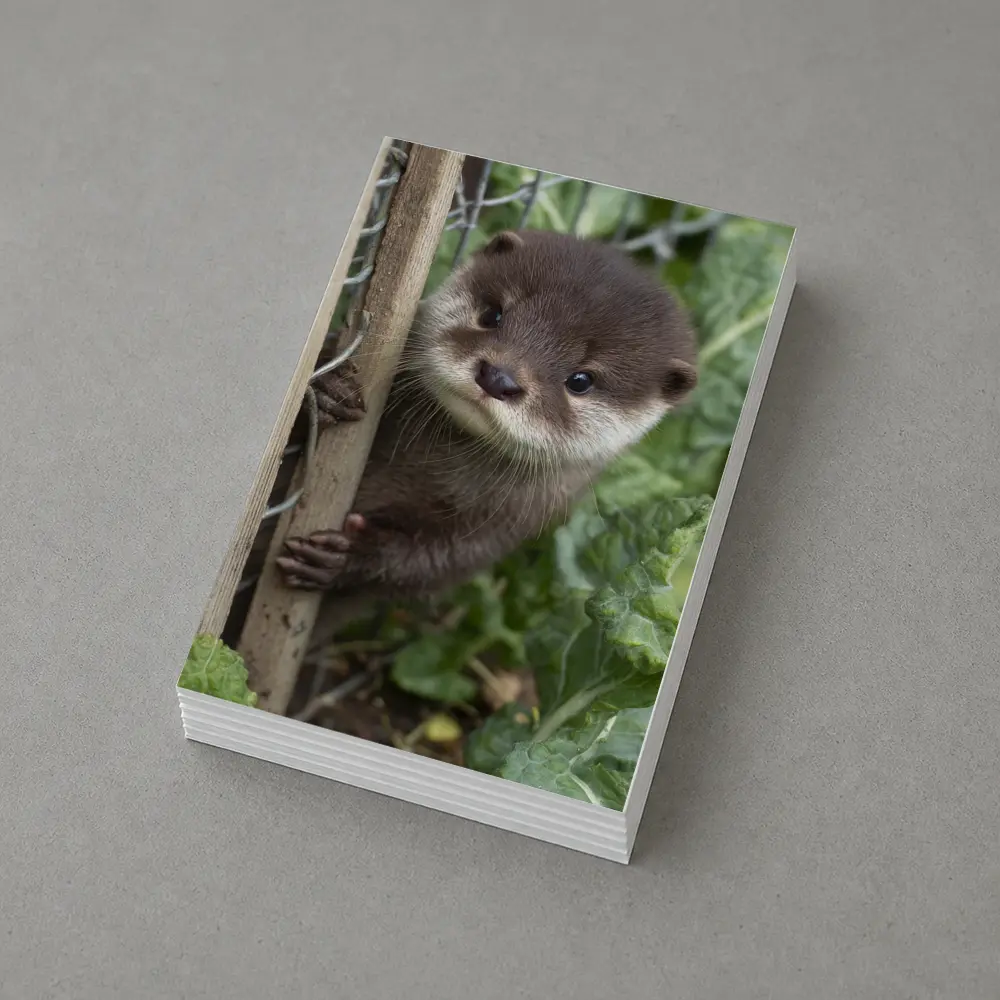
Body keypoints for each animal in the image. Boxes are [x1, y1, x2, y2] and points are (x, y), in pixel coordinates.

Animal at [275, 228, 698, 607]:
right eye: (492, 314)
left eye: (581, 380)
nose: (498, 377)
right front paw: (326, 386)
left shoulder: (504, 528)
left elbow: (428, 566)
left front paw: (348, 556)